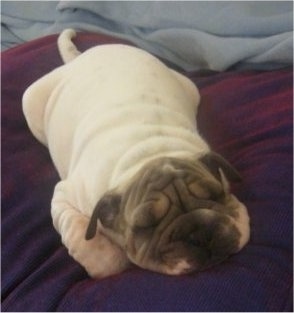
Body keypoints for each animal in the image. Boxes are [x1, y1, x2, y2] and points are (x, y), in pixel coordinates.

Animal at [21, 29, 249, 278]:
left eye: (216, 195)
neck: (148, 154)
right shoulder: (64, 197)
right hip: (31, 101)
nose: (199, 233)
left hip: (190, 87)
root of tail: (81, 57)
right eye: (145, 226)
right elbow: (94, 249)